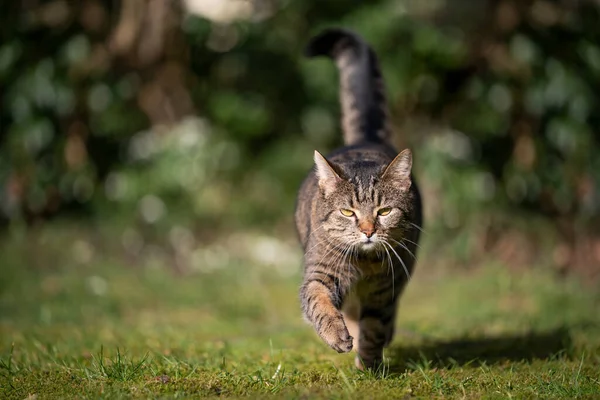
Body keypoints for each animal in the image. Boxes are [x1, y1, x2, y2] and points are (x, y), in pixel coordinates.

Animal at [296, 28, 422, 370]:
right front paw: (337, 334)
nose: (368, 230)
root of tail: (366, 139)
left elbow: (375, 327)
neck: (364, 264)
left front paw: (370, 364)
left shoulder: (385, 289)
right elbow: (319, 301)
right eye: (347, 212)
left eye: (384, 211)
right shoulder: (320, 273)